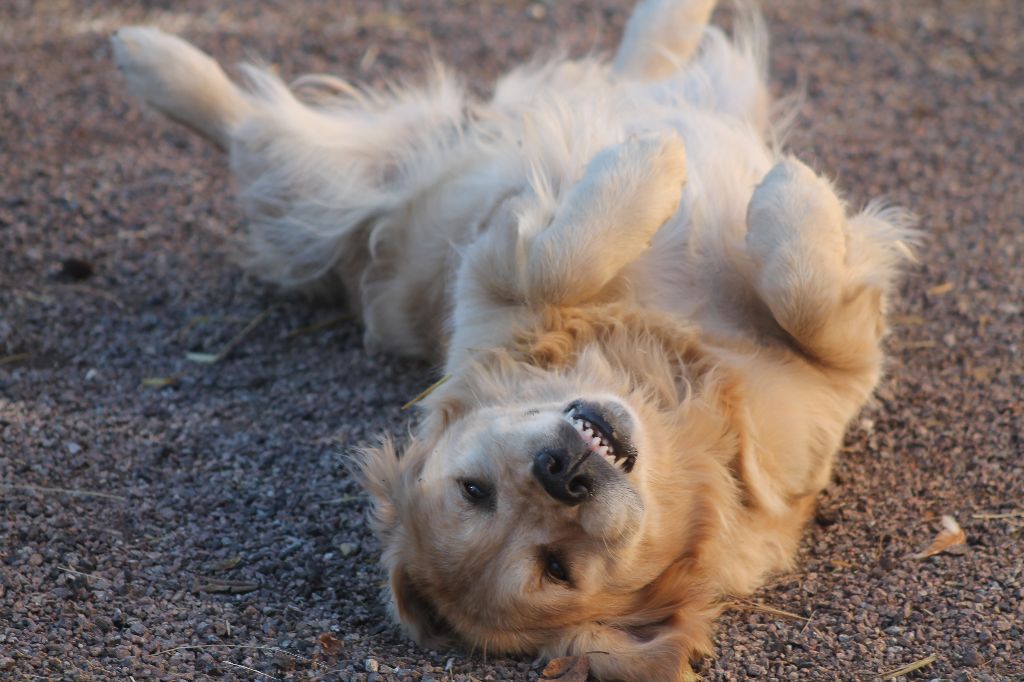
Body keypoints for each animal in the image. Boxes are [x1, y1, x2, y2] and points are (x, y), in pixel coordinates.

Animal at [110, 0, 913, 675]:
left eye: (474, 491)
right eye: (554, 567)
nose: (562, 473)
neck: (670, 374)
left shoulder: (493, 274)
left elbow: (803, 303)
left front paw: (769, 191)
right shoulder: (496, 268)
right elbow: (566, 257)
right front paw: (662, 167)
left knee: (640, 67)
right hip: (323, 186)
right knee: (244, 131)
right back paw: (148, 56)